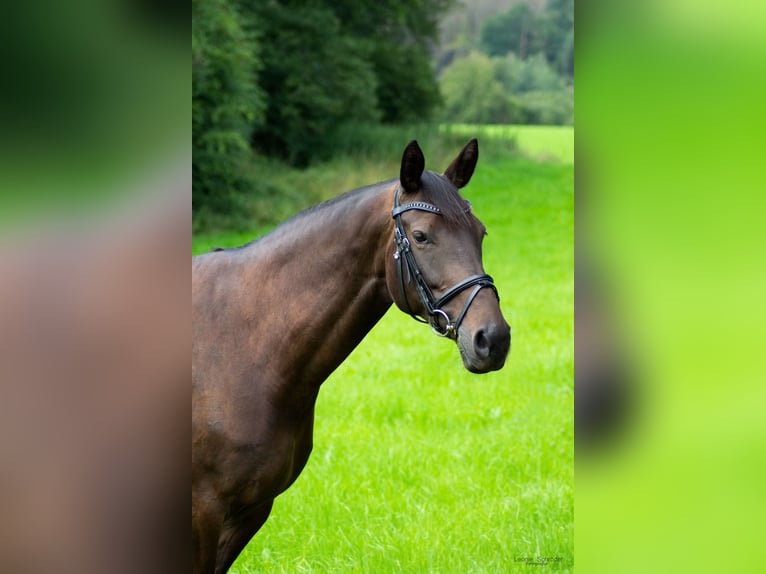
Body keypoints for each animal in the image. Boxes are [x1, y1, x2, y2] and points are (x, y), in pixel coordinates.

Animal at [192, 141, 510, 574]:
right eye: (421, 236)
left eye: (481, 233)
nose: (493, 339)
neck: (241, 345)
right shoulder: (203, 513)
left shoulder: (250, 512)